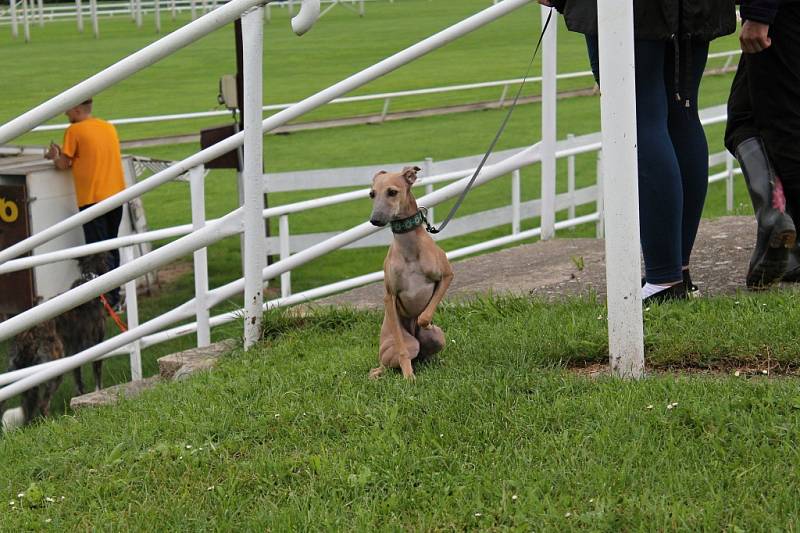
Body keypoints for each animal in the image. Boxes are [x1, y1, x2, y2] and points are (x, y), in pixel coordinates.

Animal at [368, 166, 454, 378]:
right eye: (372, 194)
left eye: (392, 192)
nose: (375, 220)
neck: (409, 247)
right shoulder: (389, 296)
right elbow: (402, 351)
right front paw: (408, 376)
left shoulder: (447, 275)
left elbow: (424, 317)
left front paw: (428, 322)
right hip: (404, 344)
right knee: (391, 362)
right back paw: (379, 373)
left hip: (438, 338)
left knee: (424, 355)